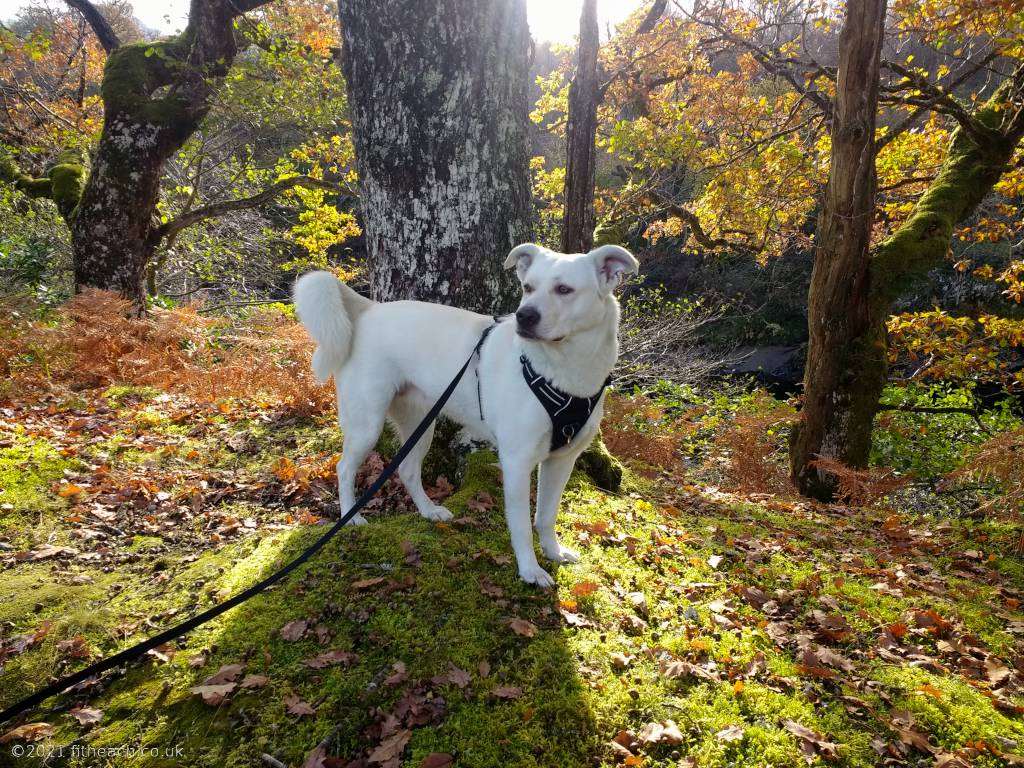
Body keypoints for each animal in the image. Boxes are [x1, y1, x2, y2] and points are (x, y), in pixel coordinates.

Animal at [292, 243, 634, 585]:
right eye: (528, 288)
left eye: (565, 290)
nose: (524, 317)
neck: (561, 372)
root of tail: (369, 310)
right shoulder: (517, 462)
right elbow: (522, 525)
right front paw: (530, 569)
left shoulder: (562, 460)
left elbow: (546, 516)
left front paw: (553, 552)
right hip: (367, 424)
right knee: (344, 468)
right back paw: (352, 517)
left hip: (420, 424)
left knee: (408, 470)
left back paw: (429, 511)